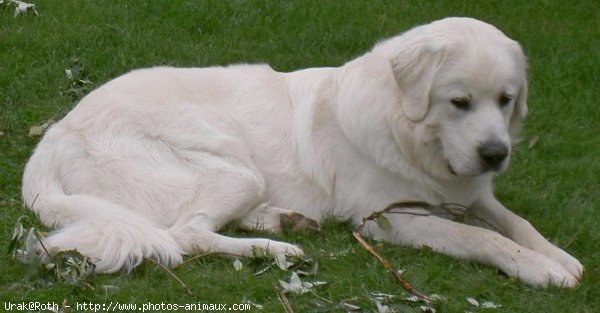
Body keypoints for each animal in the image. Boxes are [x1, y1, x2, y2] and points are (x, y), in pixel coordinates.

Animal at [22, 16, 580, 286]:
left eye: (506, 100)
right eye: (459, 102)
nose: (495, 154)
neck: (406, 131)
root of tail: (55, 135)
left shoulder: (471, 193)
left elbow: (515, 223)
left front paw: (559, 256)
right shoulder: (389, 219)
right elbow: (480, 238)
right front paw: (540, 269)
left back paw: (285, 222)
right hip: (234, 169)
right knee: (185, 235)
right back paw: (274, 248)